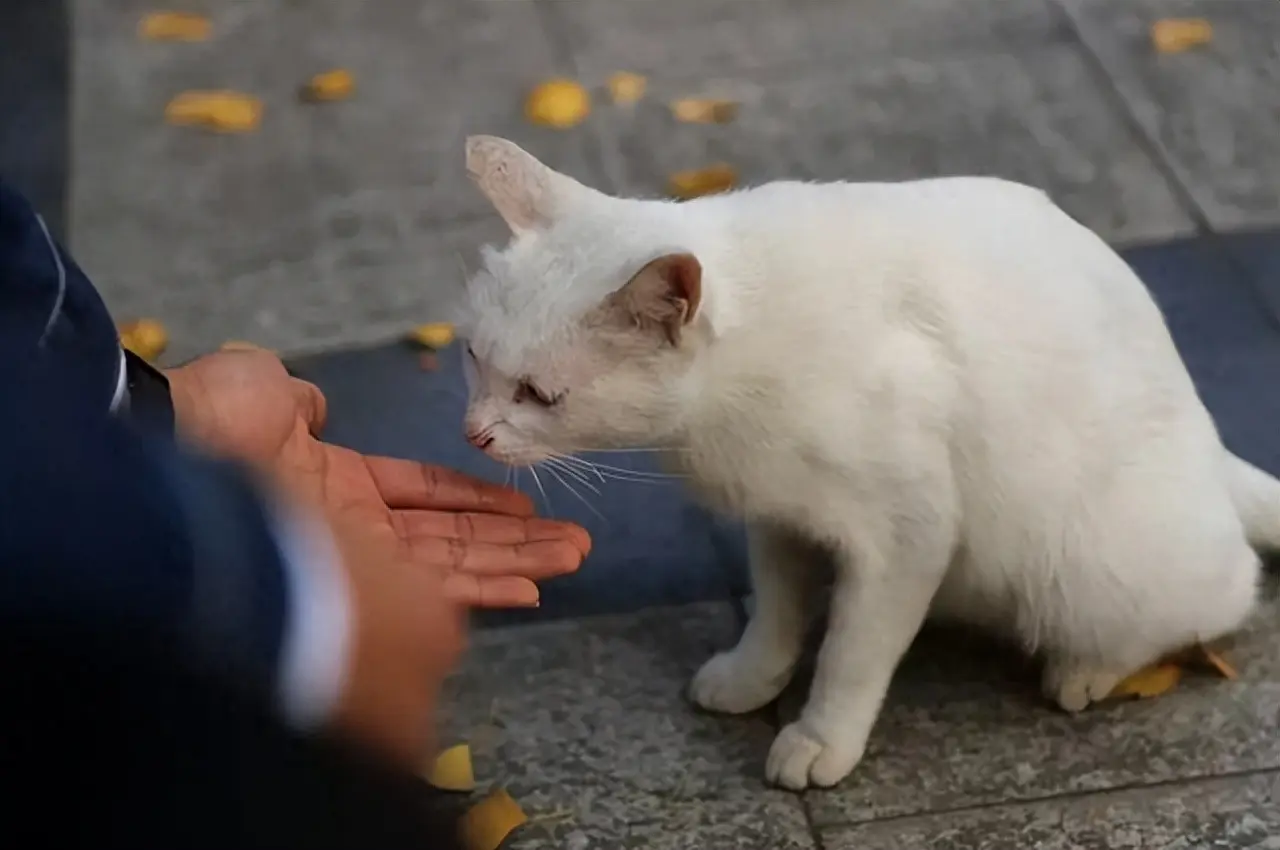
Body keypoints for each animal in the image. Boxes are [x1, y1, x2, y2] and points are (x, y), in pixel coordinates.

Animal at [453, 134, 1280, 788]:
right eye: (473, 358)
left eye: (538, 394)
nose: (473, 432)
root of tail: (1212, 447)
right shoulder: (780, 517)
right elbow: (778, 613)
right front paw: (754, 677)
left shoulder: (904, 538)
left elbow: (851, 656)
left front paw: (820, 739)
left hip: (1090, 570)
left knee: (1220, 597)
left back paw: (1089, 669)